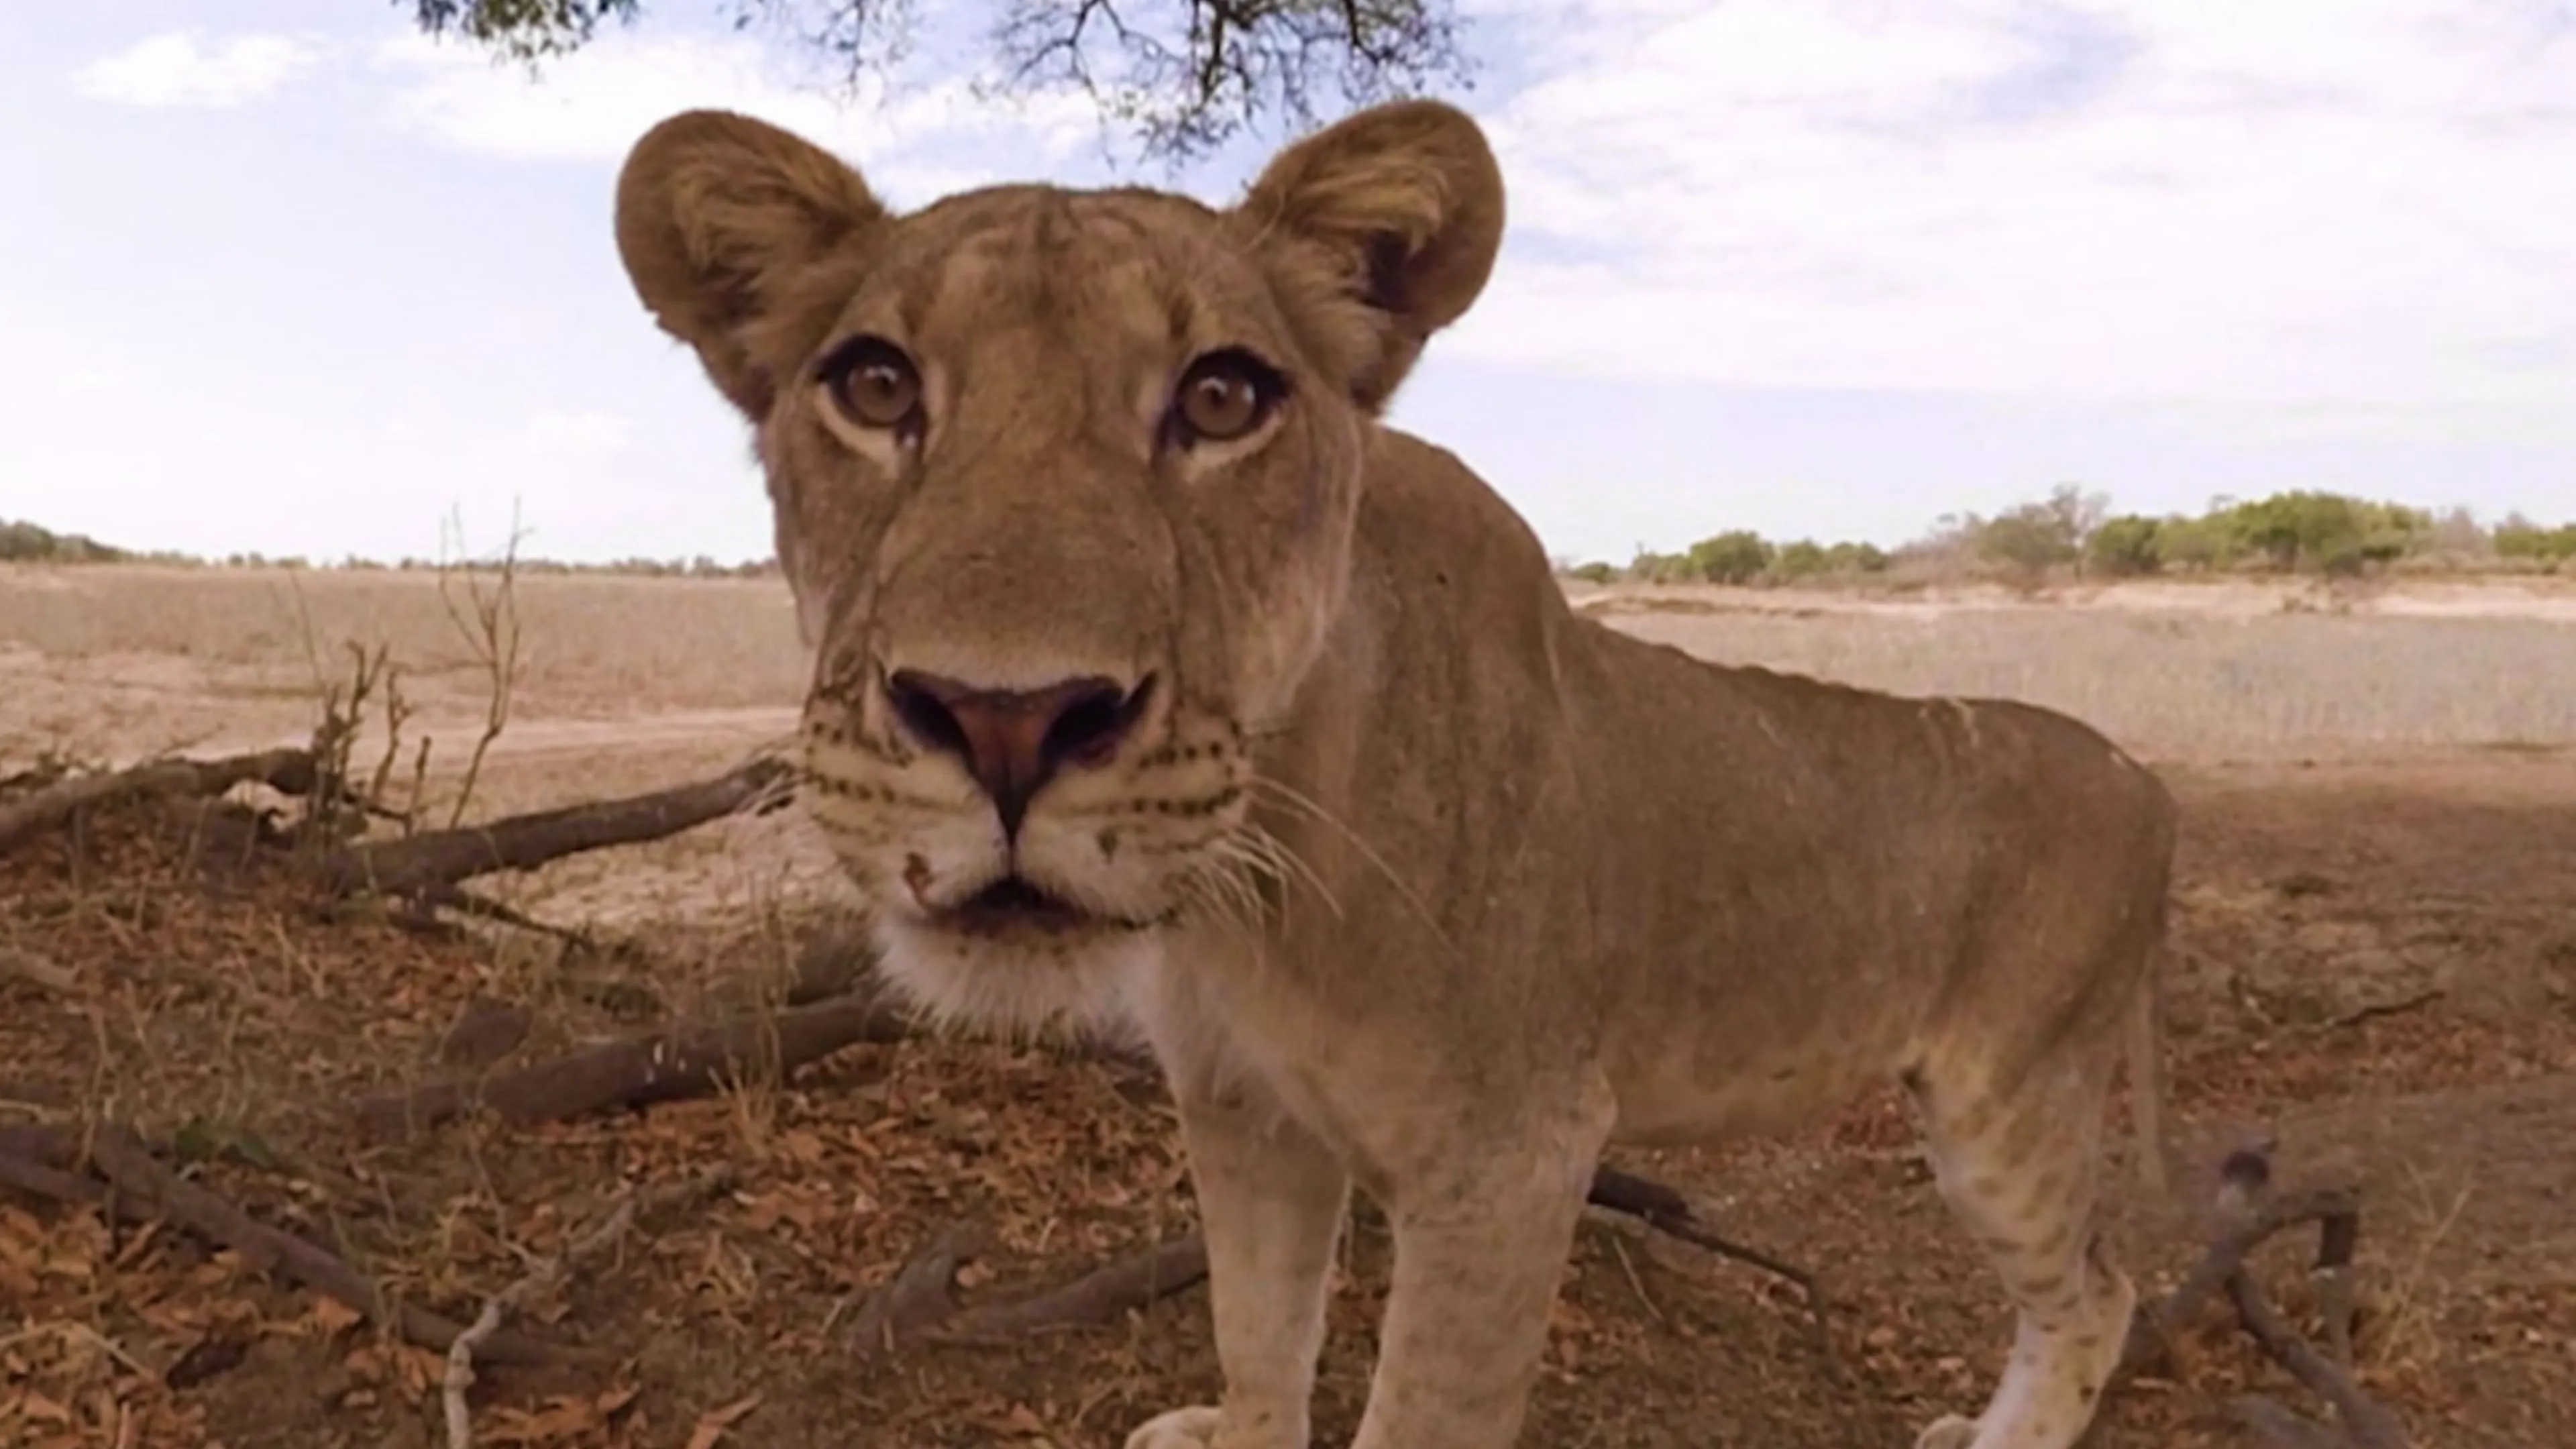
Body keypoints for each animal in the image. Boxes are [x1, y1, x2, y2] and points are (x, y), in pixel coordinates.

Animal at [611, 98, 2178, 1449]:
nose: (1008, 720)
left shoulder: (1511, 1163)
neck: (1259, 896)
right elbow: (1259, 1335)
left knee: (2100, 1293)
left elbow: (1419, 1410)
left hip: (2008, 1108)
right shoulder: (1245, 1112)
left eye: (1222, 397)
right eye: (875, 386)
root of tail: (2141, 771)